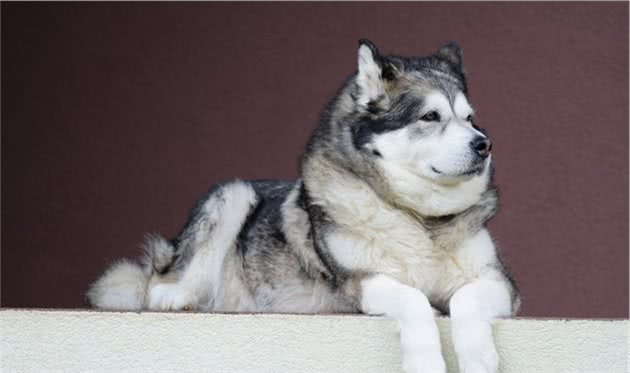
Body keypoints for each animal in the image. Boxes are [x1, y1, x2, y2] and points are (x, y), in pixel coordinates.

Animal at [90, 40, 524, 372]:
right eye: (431, 116)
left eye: (470, 119)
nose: (484, 144)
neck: (418, 218)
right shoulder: (361, 281)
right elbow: (413, 300)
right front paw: (426, 360)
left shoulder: (500, 283)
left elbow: (466, 299)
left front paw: (478, 357)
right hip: (231, 194)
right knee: (160, 282)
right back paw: (175, 295)